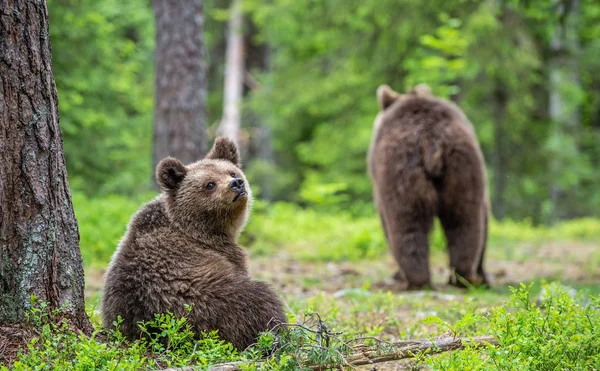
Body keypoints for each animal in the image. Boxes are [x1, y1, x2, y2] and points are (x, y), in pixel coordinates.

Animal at [368, 85, 490, 290]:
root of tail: (430, 139)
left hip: (401, 171)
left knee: (407, 224)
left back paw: (414, 280)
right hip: (463, 169)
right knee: (465, 221)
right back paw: (463, 277)